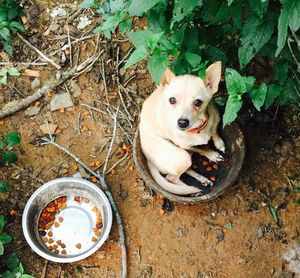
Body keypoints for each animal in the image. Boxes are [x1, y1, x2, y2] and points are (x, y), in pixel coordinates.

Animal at [139, 60, 226, 195]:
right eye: (172, 100)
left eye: (198, 102)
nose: (182, 122)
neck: (198, 129)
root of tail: (148, 161)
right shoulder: (185, 146)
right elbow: (201, 150)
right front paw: (212, 154)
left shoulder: (215, 119)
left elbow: (214, 131)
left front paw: (219, 143)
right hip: (183, 156)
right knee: (171, 178)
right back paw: (191, 190)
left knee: (186, 171)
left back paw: (203, 179)